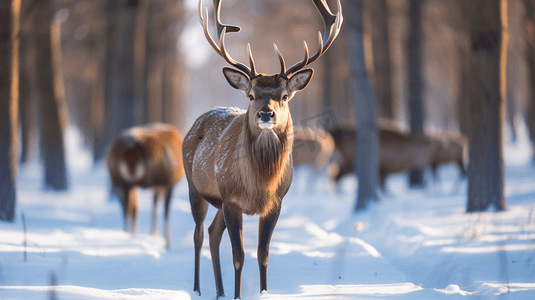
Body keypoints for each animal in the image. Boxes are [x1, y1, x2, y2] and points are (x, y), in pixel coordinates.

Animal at [183, 0, 344, 298]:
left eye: (285, 95)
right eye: (251, 95)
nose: (266, 114)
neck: (260, 185)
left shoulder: (275, 202)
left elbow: (263, 254)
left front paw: (262, 292)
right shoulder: (231, 199)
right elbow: (239, 255)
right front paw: (238, 295)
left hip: (218, 201)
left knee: (212, 232)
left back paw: (219, 292)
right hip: (194, 185)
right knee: (198, 233)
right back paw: (198, 289)